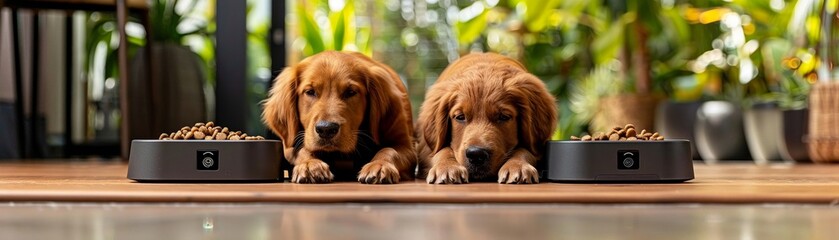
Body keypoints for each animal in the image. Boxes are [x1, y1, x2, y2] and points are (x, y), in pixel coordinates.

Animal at [262, 51, 416, 184]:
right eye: (310, 92)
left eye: (351, 92)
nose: (326, 129)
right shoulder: (289, 145)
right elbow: (302, 150)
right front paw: (310, 164)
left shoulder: (407, 148)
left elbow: (389, 150)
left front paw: (379, 165)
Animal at [418, 53, 556, 184]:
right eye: (460, 117)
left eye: (503, 117)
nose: (476, 154)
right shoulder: (426, 148)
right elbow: (441, 151)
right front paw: (447, 167)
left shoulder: (538, 147)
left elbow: (525, 150)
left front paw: (518, 166)